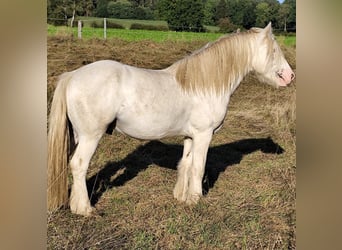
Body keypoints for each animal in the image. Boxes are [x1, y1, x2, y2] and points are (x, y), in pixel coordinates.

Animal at [47, 22, 294, 216]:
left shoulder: (190, 136)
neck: (205, 85)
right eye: (274, 50)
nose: (290, 76)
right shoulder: (204, 135)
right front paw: (196, 200)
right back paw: (85, 209)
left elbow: (186, 163)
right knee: (79, 165)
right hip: (91, 136)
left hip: (76, 136)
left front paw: (181, 197)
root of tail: (72, 76)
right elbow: (198, 167)